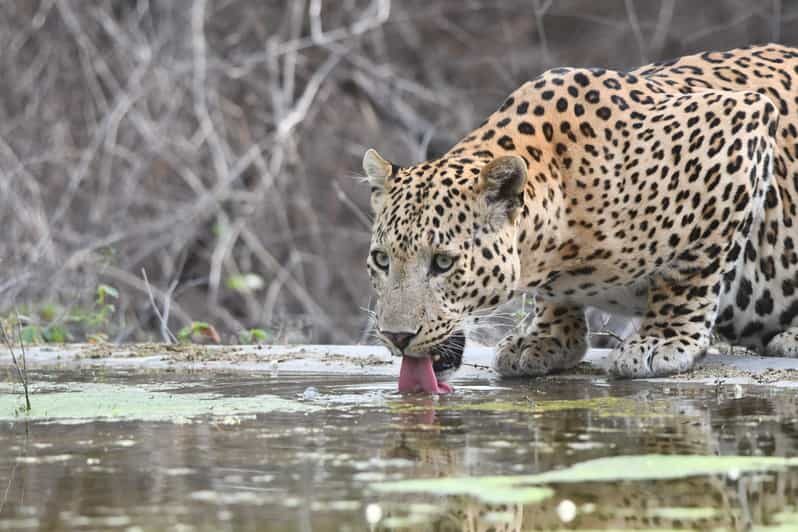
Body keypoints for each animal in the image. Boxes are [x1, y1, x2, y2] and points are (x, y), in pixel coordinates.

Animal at [363, 44, 798, 382]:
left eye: (443, 262)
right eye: (382, 260)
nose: (396, 336)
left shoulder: (738, 123)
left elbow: (691, 269)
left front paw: (662, 340)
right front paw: (546, 338)